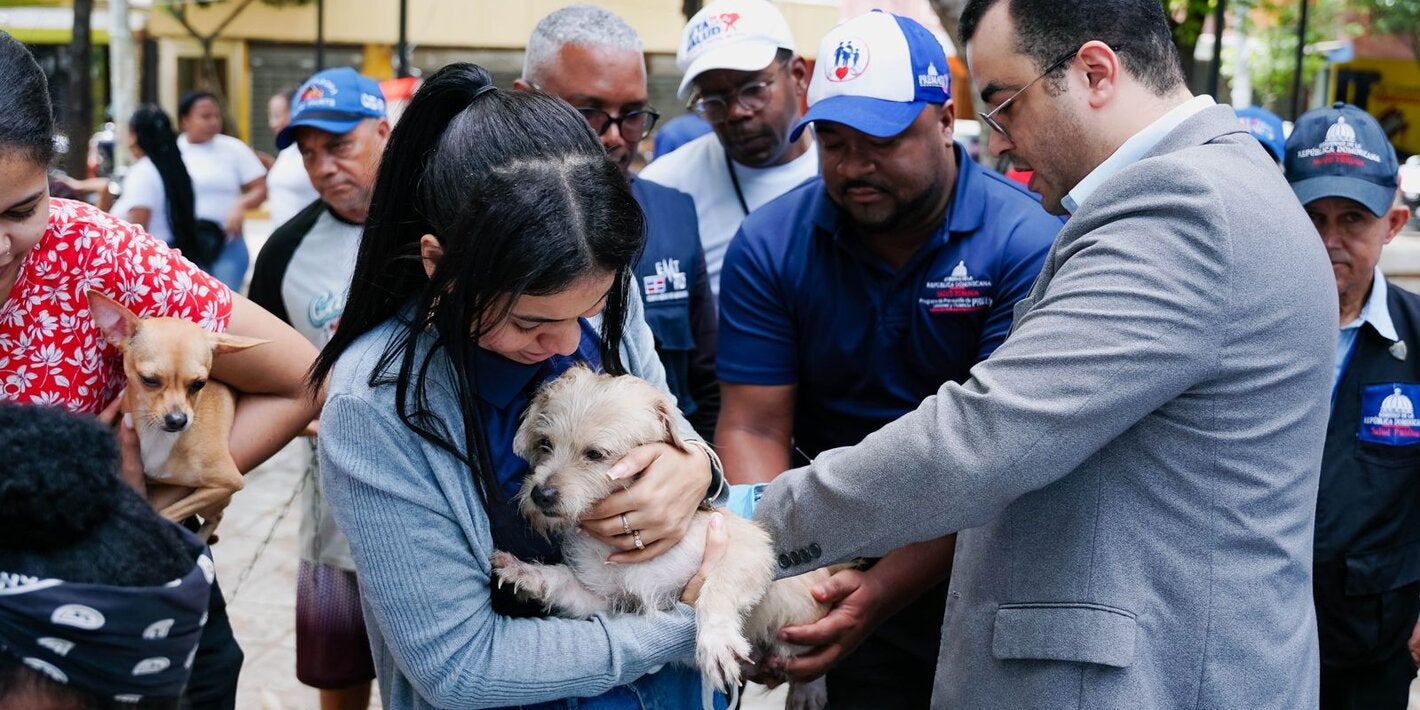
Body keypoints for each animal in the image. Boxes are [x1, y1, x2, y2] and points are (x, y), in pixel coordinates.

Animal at [494, 366, 834, 710]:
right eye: (545, 444)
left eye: (595, 454)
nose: (540, 494)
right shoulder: (608, 602)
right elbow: (563, 581)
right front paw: (527, 573)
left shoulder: (750, 549)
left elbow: (716, 589)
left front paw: (715, 640)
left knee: (810, 662)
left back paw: (808, 690)